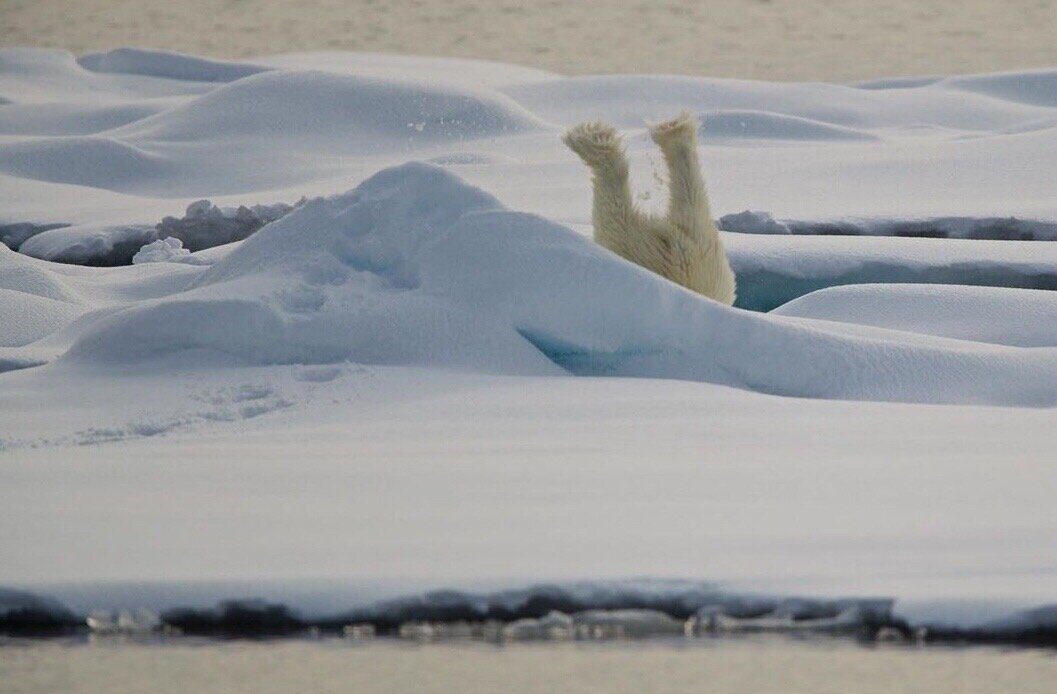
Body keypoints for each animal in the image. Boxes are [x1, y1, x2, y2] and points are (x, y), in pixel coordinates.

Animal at [562, 113, 735, 304]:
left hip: (638, 251)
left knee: (614, 219)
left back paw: (589, 139)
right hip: (702, 240)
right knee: (691, 195)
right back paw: (674, 129)